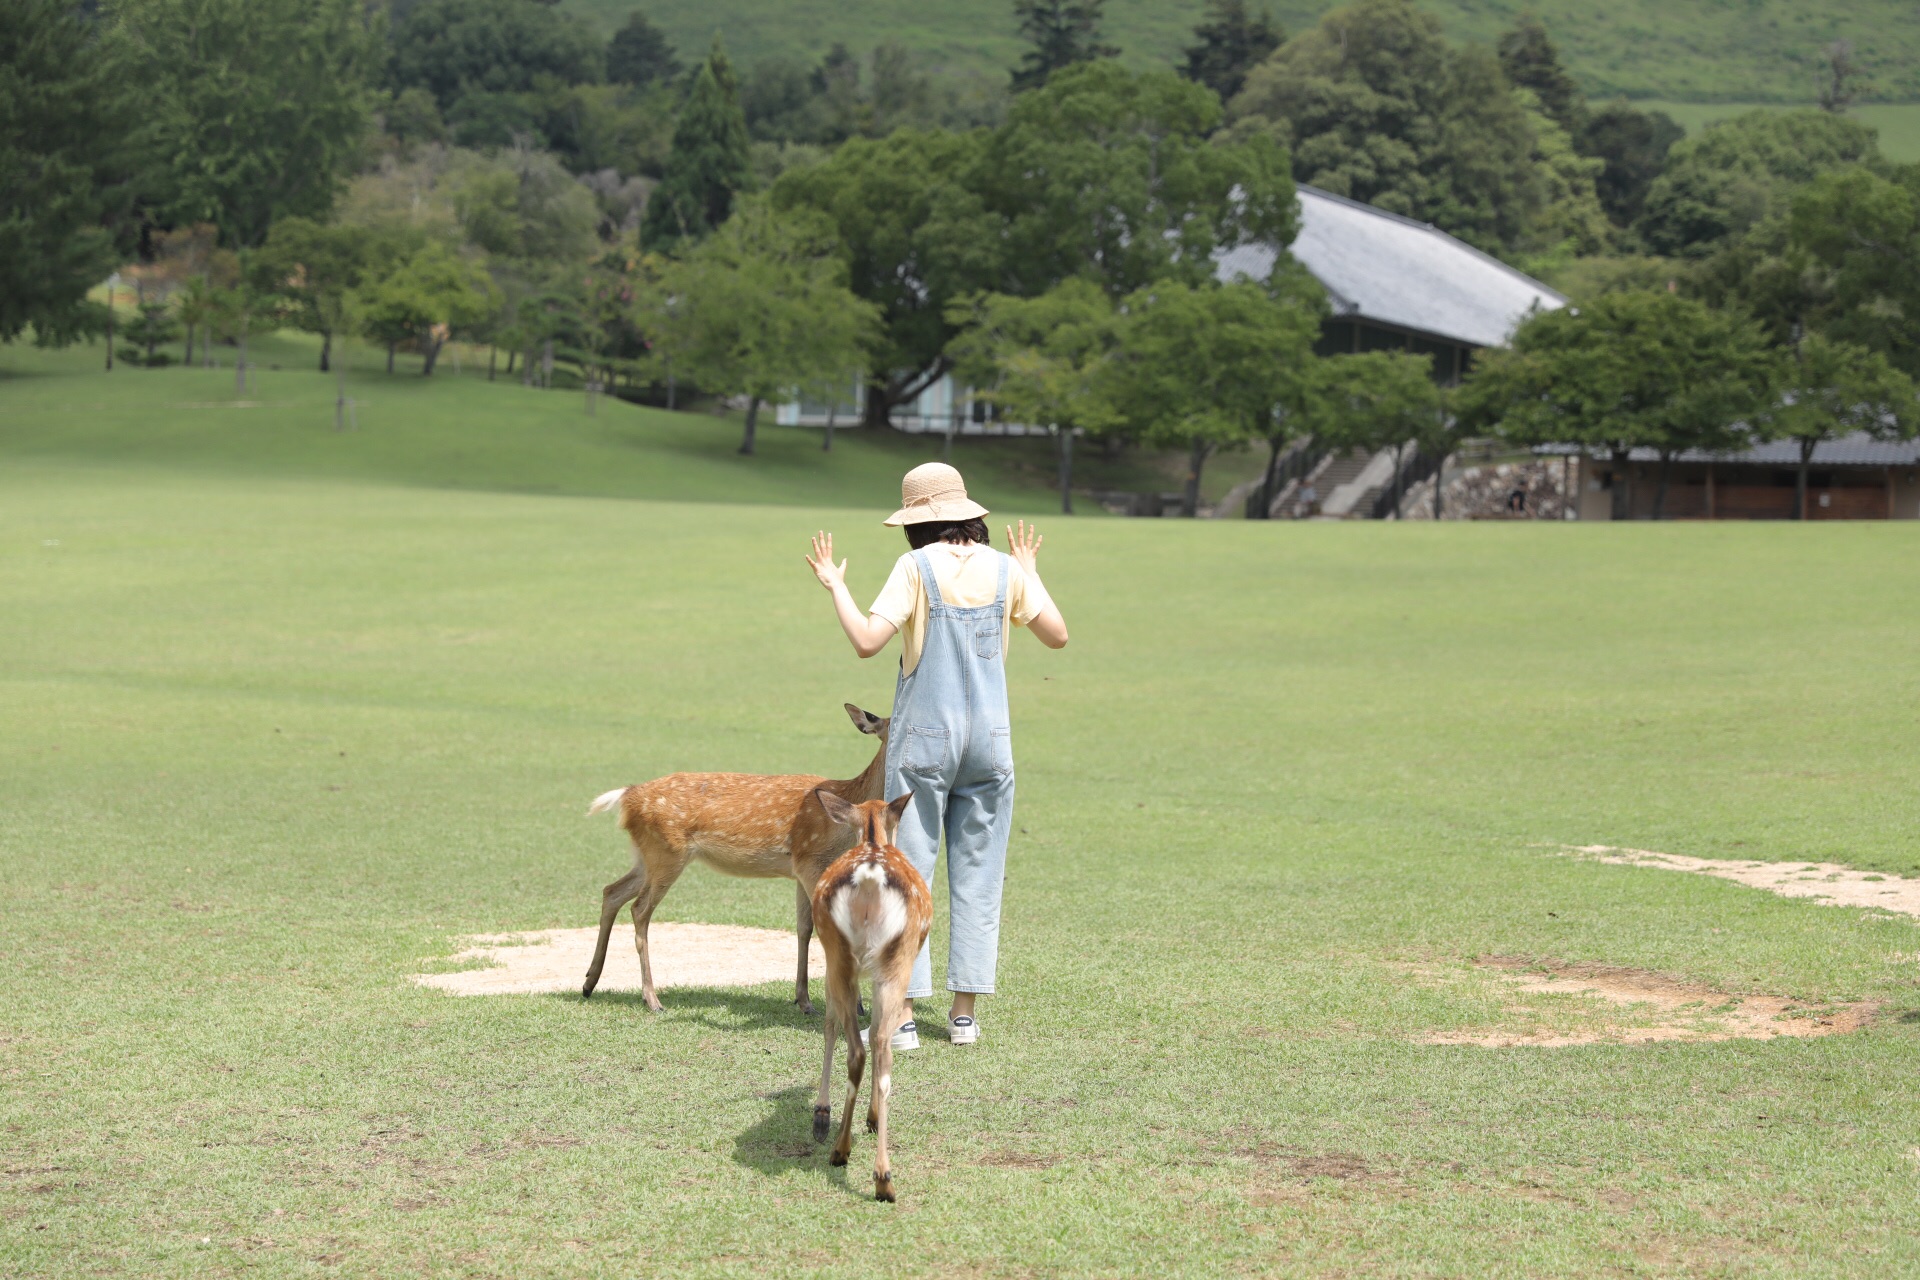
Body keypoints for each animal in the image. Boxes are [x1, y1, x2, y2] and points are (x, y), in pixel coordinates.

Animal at [579, 702, 887, 1013]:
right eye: (886, 725)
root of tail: (626, 797)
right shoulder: (811, 860)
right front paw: (854, 1006)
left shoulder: (802, 868)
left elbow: (804, 928)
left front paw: (804, 1000)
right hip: (666, 852)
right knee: (640, 909)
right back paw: (652, 999)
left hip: (646, 856)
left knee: (612, 891)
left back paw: (589, 982)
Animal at [810, 790, 929, 1205]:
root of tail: (870, 878)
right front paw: (824, 1115)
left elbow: (837, 1026)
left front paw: (823, 1114)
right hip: (889, 961)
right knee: (875, 1047)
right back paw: (871, 1170)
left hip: (844, 958)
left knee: (866, 1045)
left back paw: (863, 1162)